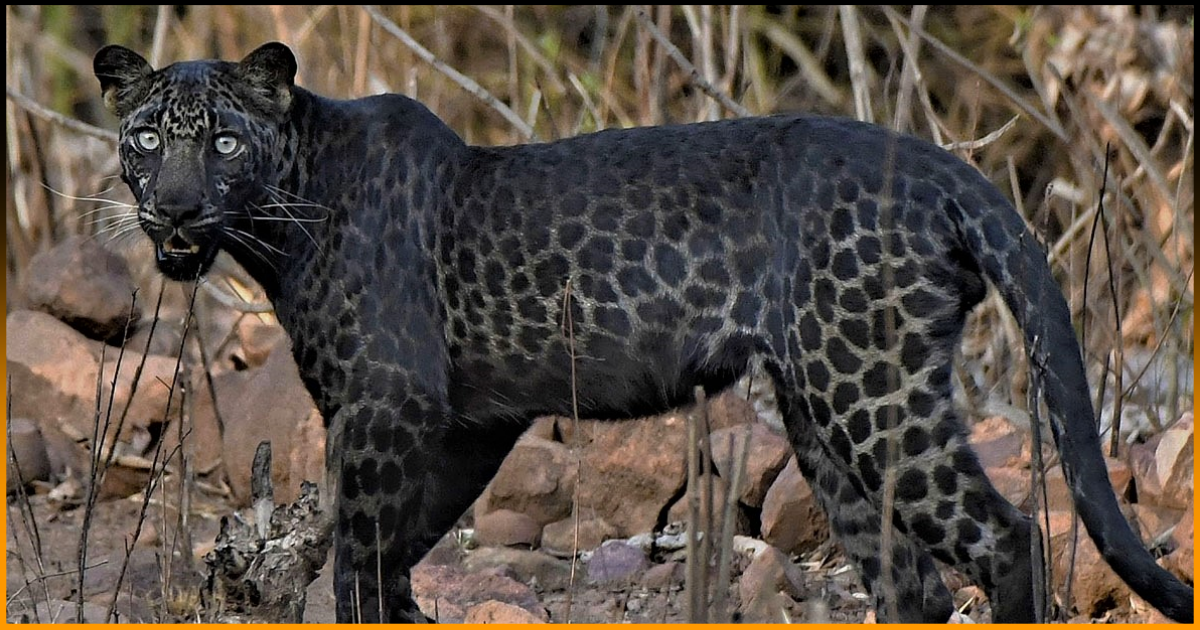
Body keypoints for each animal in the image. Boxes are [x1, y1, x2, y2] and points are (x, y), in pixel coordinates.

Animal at [93, 41, 1192, 623]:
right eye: (146, 137)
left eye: (222, 141)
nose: (176, 210)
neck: (284, 219)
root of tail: (941, 166)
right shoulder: (465, 423)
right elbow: (400, 549)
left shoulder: (387, 408)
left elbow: (361, 554)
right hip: (826, 420)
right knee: (910, 578)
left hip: (872, 394)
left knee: (1005, 538)